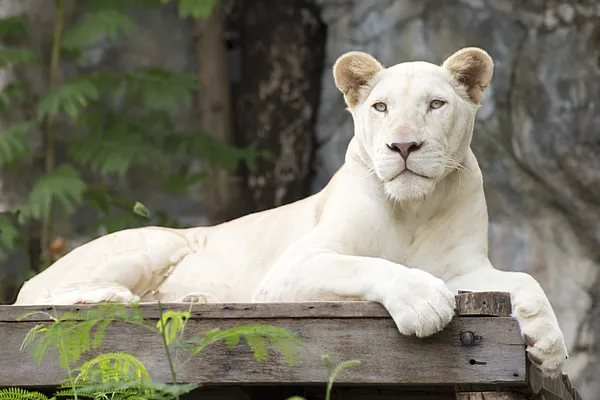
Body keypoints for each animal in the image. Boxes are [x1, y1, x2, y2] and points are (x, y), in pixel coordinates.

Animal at [14, 48, 568, 376]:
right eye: (381, 108)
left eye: (435, 105)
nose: (403, 146)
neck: (413, 207)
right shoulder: (289, 271)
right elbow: (367, 265)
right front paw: (421, 301)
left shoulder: (465, 268)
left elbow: (523, 281)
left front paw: (549, 343)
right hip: (157, 241)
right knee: (44, 296)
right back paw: (120, 298)